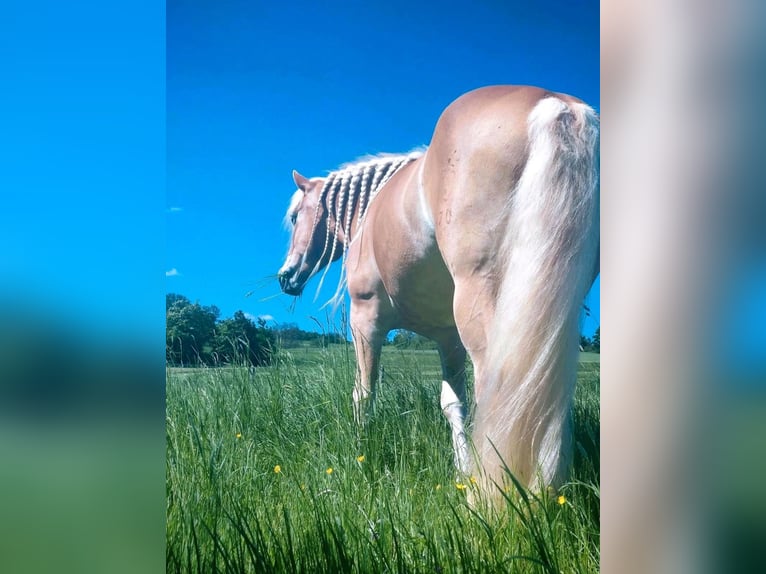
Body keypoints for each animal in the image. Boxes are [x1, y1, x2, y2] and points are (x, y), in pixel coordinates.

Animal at [280, 85, 604, 496]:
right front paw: (462, 470)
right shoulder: (447, 337)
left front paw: (360, 451)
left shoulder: (365, 319)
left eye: (294, 217)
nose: (286, 276)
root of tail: (557, 107)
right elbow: (452, 402)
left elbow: (364, 392)